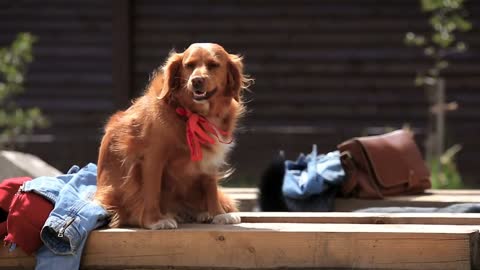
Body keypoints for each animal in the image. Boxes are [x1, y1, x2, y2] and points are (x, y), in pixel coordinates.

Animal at [94, 43, 251, 229]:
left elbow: (210, 186)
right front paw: (154, 220)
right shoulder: (152, 158)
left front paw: (217, 213)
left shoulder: (209, 158)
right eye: (189, 65)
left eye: (213, 65)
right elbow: (152, 191)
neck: (190, 113)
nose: (196, 80)